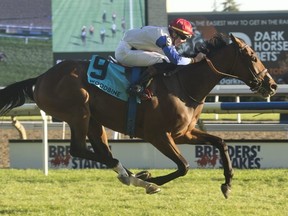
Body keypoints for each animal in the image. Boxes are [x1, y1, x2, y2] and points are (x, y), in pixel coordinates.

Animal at [0, 33, 276, 197]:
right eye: (253, 57)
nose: (271, 85)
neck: (184, 84)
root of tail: (41, 78)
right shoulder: (158, 135)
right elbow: (184, 166)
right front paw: (154, 179)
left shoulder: (184, 133)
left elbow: (221, 143)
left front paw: (227, 184)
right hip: (79, 112)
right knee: (80, 149)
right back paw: (138, 178)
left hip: (94, 121)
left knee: (102, 151)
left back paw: (131, 175)